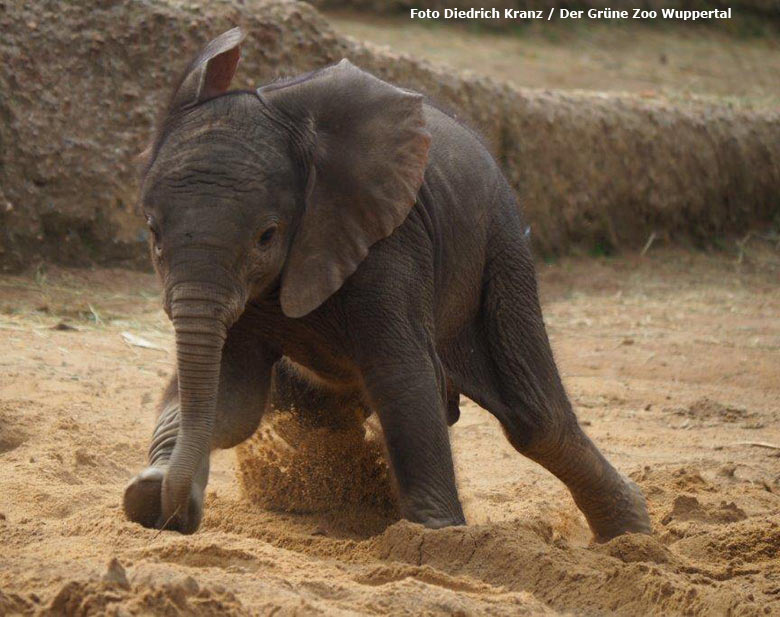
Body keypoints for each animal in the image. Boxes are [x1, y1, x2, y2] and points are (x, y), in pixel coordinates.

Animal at [123, 27, 652, 540]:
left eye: (266, 236)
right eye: (152, 232)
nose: (177, 510)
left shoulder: (391, 238)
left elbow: (401, 373)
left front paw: (435, 538)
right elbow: (232, 397)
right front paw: (147, 497)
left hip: (501, 247)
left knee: (536, 418)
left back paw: (634, 534)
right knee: (309, 400)